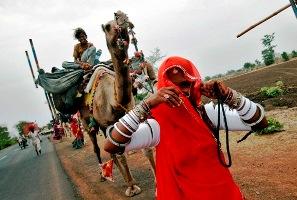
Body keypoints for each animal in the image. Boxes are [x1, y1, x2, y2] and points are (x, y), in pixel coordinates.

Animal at [77, 11, 156, 197]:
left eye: (122, 15)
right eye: (107, 26)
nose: (121, 15)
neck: (114, 99)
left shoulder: (131, 112)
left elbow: (147, 148)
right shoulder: (107, 122)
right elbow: (119, 152)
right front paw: (132, 188)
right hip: (88, 123)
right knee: (97, 147)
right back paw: (103, 175)